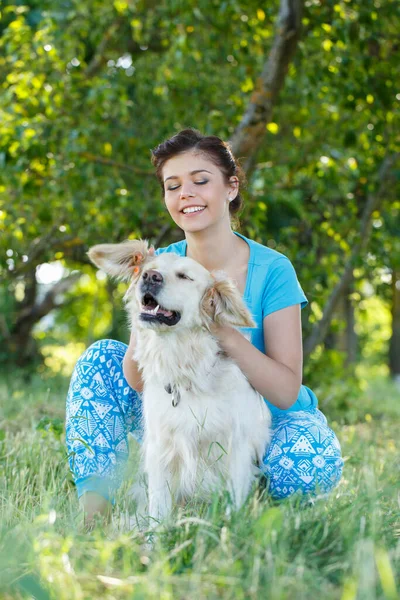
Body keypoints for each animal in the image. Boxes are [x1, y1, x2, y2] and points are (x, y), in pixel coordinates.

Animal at [88, 241, 270, 524]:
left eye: (184, 276)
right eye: (149, 268)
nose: (149, 277)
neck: (184, 367)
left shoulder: (236, 448)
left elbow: (233, 503)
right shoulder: (161, 447)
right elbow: (159, 507)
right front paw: (156, 534)